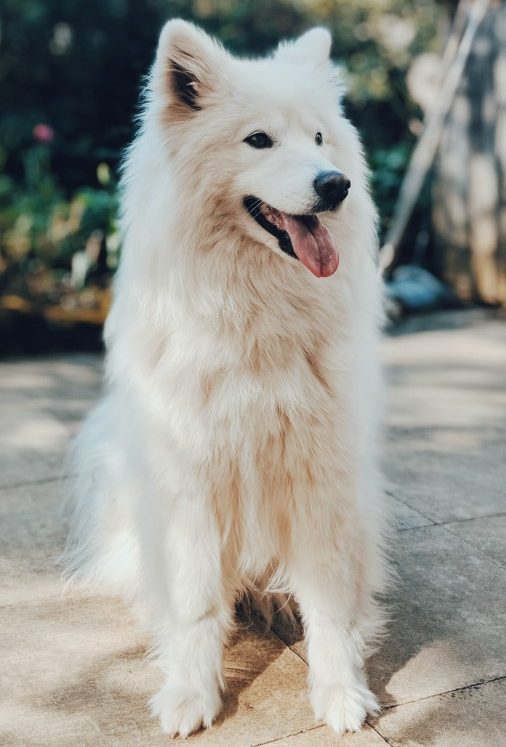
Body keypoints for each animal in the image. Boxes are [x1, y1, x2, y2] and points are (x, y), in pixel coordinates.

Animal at [63, 19, 388, 744]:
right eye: (258, 140)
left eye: (319, 138)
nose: (336, 184)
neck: (256, 314)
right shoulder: (191, 479)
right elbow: (194, 604)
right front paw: (190, 693)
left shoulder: (322, 475)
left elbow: (330, 603)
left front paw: (340, 692)